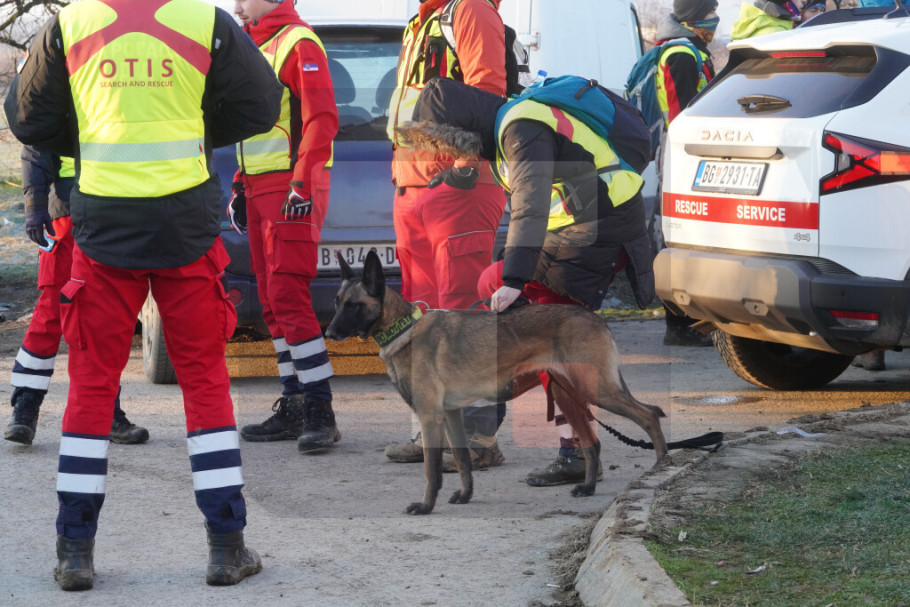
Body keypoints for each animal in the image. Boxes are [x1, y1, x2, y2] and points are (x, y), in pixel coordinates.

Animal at [325, 250, 669, 515]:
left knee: (649, 415)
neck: (404, 329)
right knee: (593, 442)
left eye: (353, 305)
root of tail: (595, 318)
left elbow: (431, 469)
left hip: (597, 391)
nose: (328, 333)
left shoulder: (430, 416)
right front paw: (465, 495)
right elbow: (462, 460)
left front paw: (425, 506)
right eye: (336, 302)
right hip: (566, 395)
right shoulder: (451, 415)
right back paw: (587, 487)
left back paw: (662, 468)